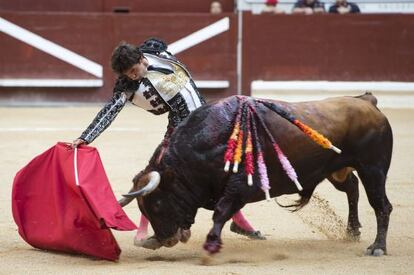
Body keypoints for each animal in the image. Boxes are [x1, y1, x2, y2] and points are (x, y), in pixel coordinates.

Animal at [119, 94, 392, 258]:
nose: (165, 240)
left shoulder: (240, 187)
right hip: (338, 169)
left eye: (157, 204)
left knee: (381, 205)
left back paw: (377, 247)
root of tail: (368, 102)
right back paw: (352, 231)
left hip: (373, 169)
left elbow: (221, 212)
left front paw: (212, 243)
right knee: (352, 188)